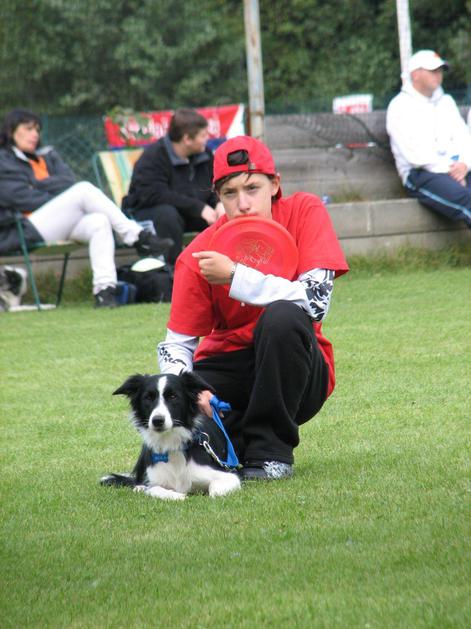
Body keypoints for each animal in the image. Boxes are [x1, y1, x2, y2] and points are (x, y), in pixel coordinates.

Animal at [101, 372, 241, 500]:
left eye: (173, 396)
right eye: (148, 397)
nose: (157, 420)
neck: (169, 441)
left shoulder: (228, 475)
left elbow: (215, 490)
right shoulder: (155, 479)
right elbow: (154, 489)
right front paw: (179, 496)